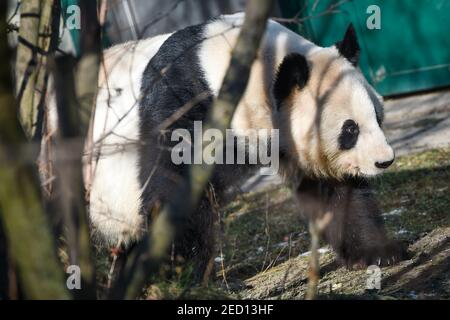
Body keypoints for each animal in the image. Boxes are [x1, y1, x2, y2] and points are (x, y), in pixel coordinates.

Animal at [89, 13, 406, 276]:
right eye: (349, 130)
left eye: (377, 117)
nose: (384, 161)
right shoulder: (184, 100)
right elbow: (175, 186)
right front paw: (181, 274)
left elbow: (333, 191)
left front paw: (378, 253)